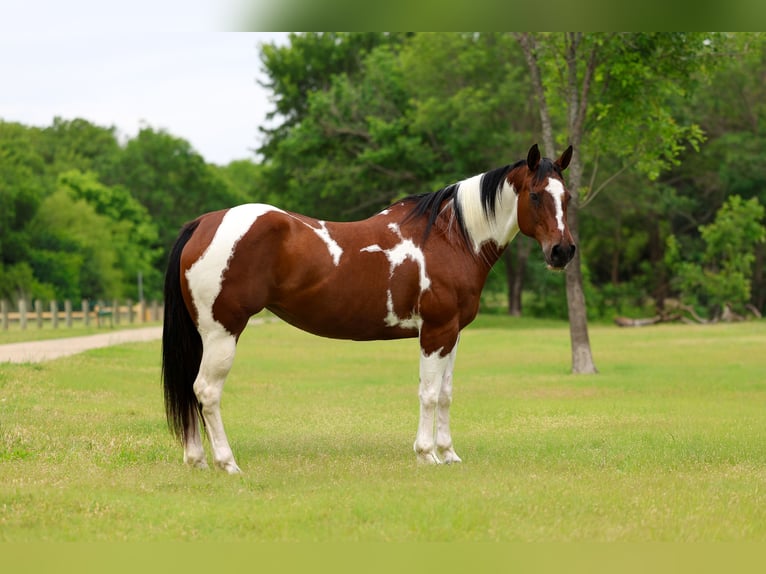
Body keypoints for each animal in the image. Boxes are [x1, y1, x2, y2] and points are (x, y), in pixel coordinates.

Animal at [162, 143, 575, 473]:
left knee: (191, 390)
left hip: (204, 334)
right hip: (222, 332)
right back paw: (227, 463)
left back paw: (197, 460)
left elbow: (445, 393)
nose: (563, 251)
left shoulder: (453, 334)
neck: (450, 239)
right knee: (206, 391)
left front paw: (449, 454)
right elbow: (428, 393)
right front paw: (427, 454)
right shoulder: (435, 332)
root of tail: (204, 223)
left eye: (567, 197)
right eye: (535, 195)